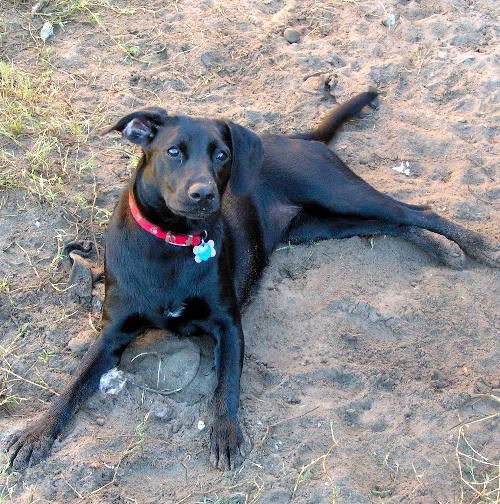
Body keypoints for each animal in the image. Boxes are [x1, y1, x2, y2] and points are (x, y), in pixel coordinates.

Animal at [5, 91, 498, 472]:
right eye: (173, 151)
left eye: (221, 155)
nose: (204, 194)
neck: (173, 243)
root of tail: (300, 139)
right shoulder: (112, 333)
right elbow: (75, 383)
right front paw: (37, 432)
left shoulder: (228, 325)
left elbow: (226, 383)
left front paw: (225, 434)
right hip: (321, 224)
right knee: (394, 224)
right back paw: (442, 250)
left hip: (338, 194)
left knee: (415, 211)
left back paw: (476, 245)